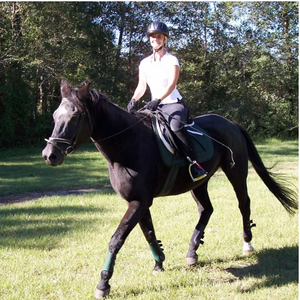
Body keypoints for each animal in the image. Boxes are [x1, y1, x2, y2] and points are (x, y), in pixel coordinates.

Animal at [42, 81, 298, 298]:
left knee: (243, 203)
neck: (126, 145)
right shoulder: (138, 201)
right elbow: (148, 232)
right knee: (206, 209)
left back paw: (247, 243)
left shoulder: (139, 201)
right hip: (198, 182)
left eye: (75, 116)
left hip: (236, 173)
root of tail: (231, 123)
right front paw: (159, 262)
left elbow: (116, 239)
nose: (49, 155)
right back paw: (192, 252)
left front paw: (104, 283)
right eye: (55, 116)